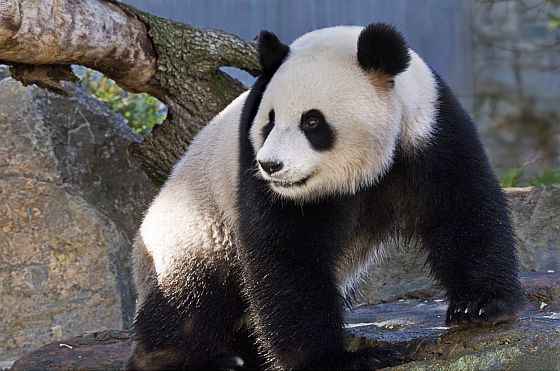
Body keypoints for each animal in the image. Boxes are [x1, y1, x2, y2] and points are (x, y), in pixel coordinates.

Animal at [128, 24, 524, 371]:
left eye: (312, 122)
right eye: (269, 121)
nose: (270, 165)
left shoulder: (430, 131)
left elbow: (462, 207)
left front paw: (480, 306)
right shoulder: (256, 174)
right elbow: (288, 255)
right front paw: (339, 359)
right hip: (195, 227)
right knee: (191, 300)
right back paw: (201, 358)